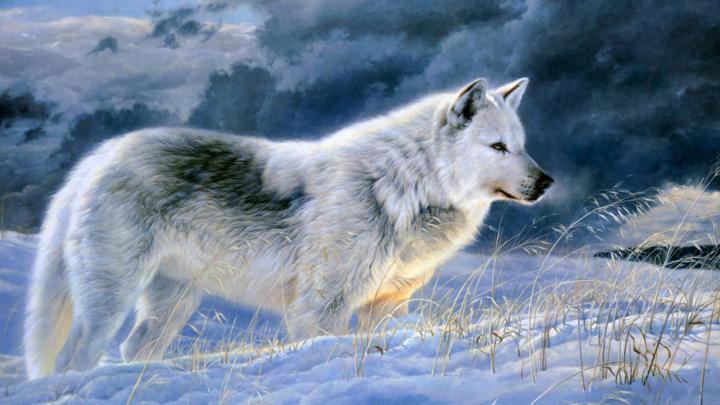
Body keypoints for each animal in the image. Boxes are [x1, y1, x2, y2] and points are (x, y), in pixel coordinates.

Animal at [24, 77, 553, 379]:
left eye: (523, 145)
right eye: (498, 147)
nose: (547, 182)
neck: (404, 186)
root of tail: (98, 156)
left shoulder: (387, 306)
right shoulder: (320, 309)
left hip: (171, 305)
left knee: (133, 350)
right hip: (111, 299)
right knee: (75, 359)